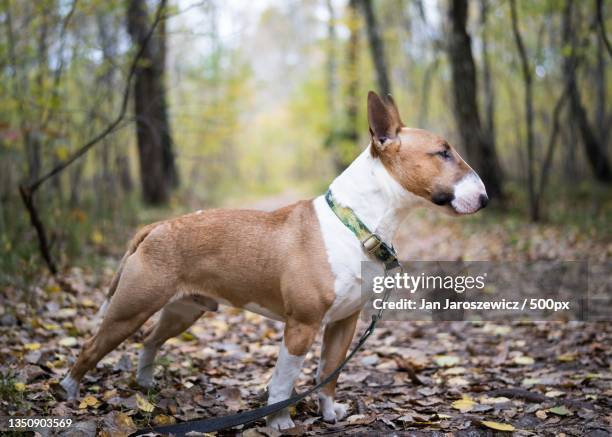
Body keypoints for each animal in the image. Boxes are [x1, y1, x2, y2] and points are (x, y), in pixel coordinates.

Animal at [59, 91, 486, 430]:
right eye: (443, 153)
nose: (484, 199)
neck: (355, 223)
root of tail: (156, 226)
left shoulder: (345, 323)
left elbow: (328, 373)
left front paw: (329, 413)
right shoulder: (301, 326)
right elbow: (284, 380)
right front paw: (279, 422)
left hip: (184, 310)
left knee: (150, 339)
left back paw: (146, 383)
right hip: (130, 309)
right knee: (92, 347)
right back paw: (68, 392)